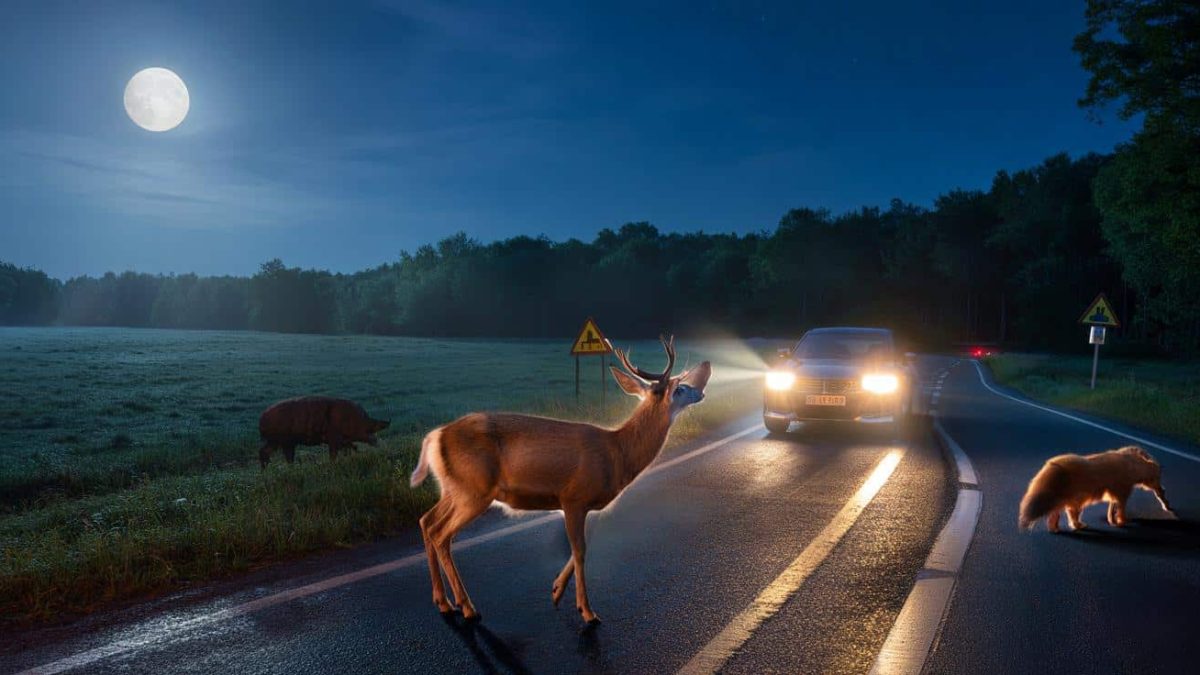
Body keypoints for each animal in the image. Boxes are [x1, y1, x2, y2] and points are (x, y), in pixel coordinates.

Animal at [408, 335, 711, 625]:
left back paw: (444, 602)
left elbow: (581, 547)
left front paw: (556, 590)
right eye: (679, 388)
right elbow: (580, 551)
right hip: (475, 490)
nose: (702, 391)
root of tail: (434, 436)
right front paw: (587, 611)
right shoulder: (573, 497)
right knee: (441, 534)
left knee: (426, 521)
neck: (617, 453)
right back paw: (467, 607)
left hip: (454, 488)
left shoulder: (586, 505)